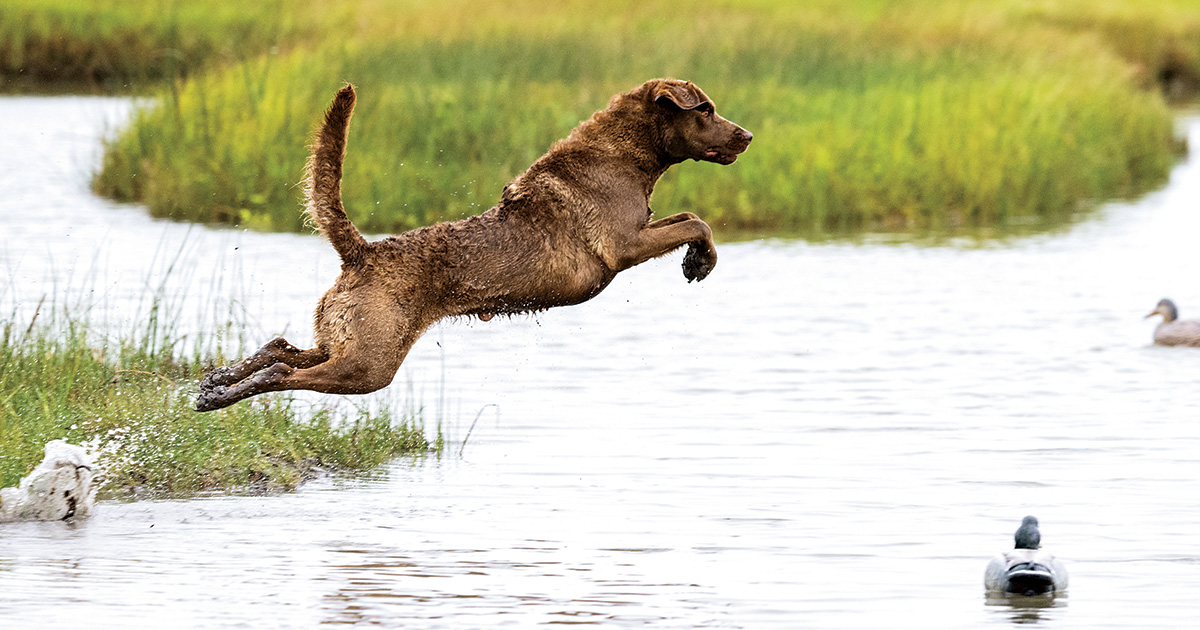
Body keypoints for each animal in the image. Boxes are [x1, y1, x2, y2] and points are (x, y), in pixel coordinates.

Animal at [195, 78, 748, 410]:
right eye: (705, 110)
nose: (745, 134)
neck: (626, 153)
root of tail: (362, 252)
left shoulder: (641, 233)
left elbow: (687, 217)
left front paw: (697, 261)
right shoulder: (625, 245)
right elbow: (697, 222)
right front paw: (700, 262)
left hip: (348, 339)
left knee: (281, 345)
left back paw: (214, 384)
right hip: (369, 363)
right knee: (285, 367)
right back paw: (221, 396)